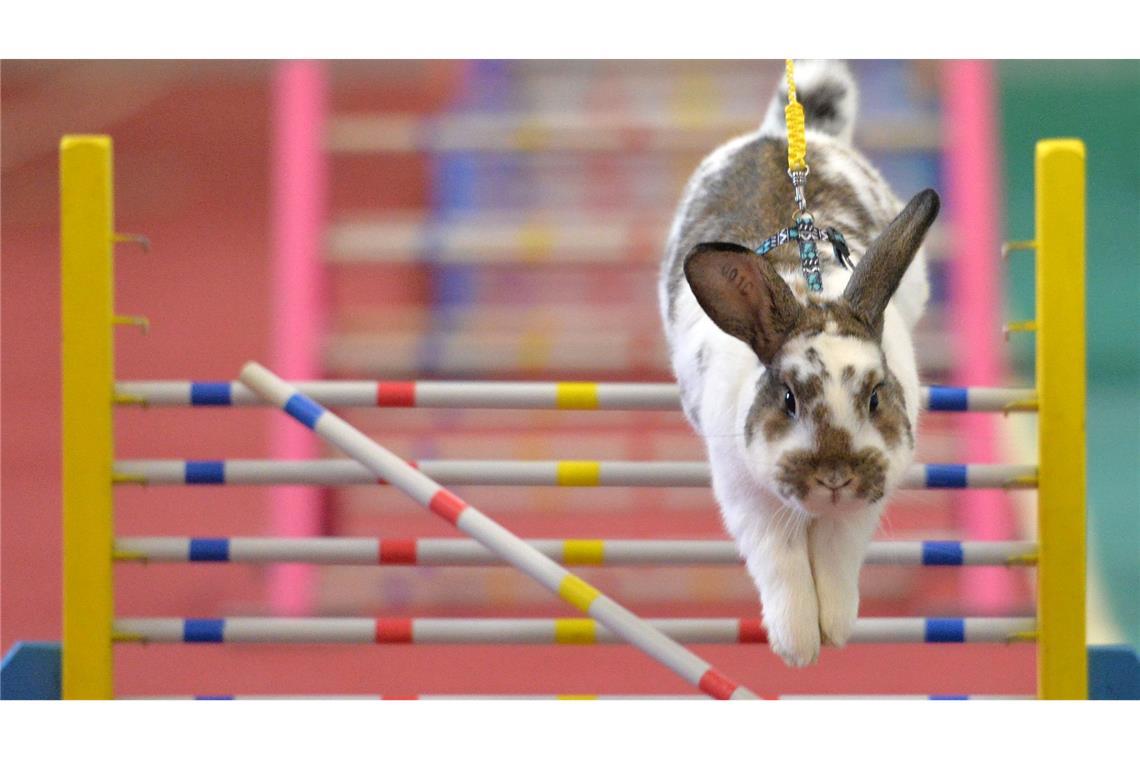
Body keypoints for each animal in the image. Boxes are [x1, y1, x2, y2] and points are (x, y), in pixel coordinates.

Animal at [656, 59, 939, 665]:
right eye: (787, 398)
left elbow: (835, 558)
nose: (834, 475)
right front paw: (798, 643)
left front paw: (834, 627)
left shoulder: (863, 506)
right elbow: (780, 561)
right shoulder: (746, 497)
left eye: (876, 396)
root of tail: (773, 133)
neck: (810, 294)